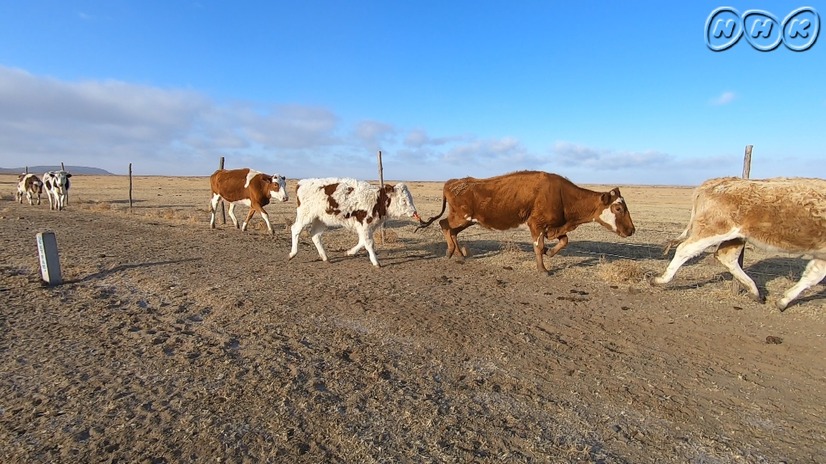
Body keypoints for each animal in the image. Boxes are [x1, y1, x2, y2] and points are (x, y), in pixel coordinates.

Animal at [288, 178, 418, 266]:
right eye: (404, 200)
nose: (414, 212)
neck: (377, 200)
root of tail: (302, 183)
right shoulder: (365, 224)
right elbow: (369, 242)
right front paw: (376, 262)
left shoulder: (365, 226)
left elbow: (362, 241)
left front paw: (349, 252)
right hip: (305, 215)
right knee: (295, 229)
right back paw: (293, 253)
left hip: (320, 219)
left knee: (315, 235)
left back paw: (325, 257)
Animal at [416, 170, 636, 272]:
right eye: (618, 208)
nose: (632, 230)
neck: (562, 196)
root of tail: (453, 182)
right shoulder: (536, 224)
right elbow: (537, 246)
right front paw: (543, 269)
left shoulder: (554, 226)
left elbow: (564, 241)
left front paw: (550, 252)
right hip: (461, 217)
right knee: (444, 225)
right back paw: (451, 251)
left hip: (467, 220)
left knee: (451, 230)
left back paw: (459, 253)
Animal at [652, 178, 824, 312]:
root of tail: (715, 182)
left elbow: (813, 275)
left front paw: (783, 301)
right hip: (714, 229)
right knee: (685, 249)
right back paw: (660, 279)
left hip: (735, 237)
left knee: (725, 257)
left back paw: (754, 291)